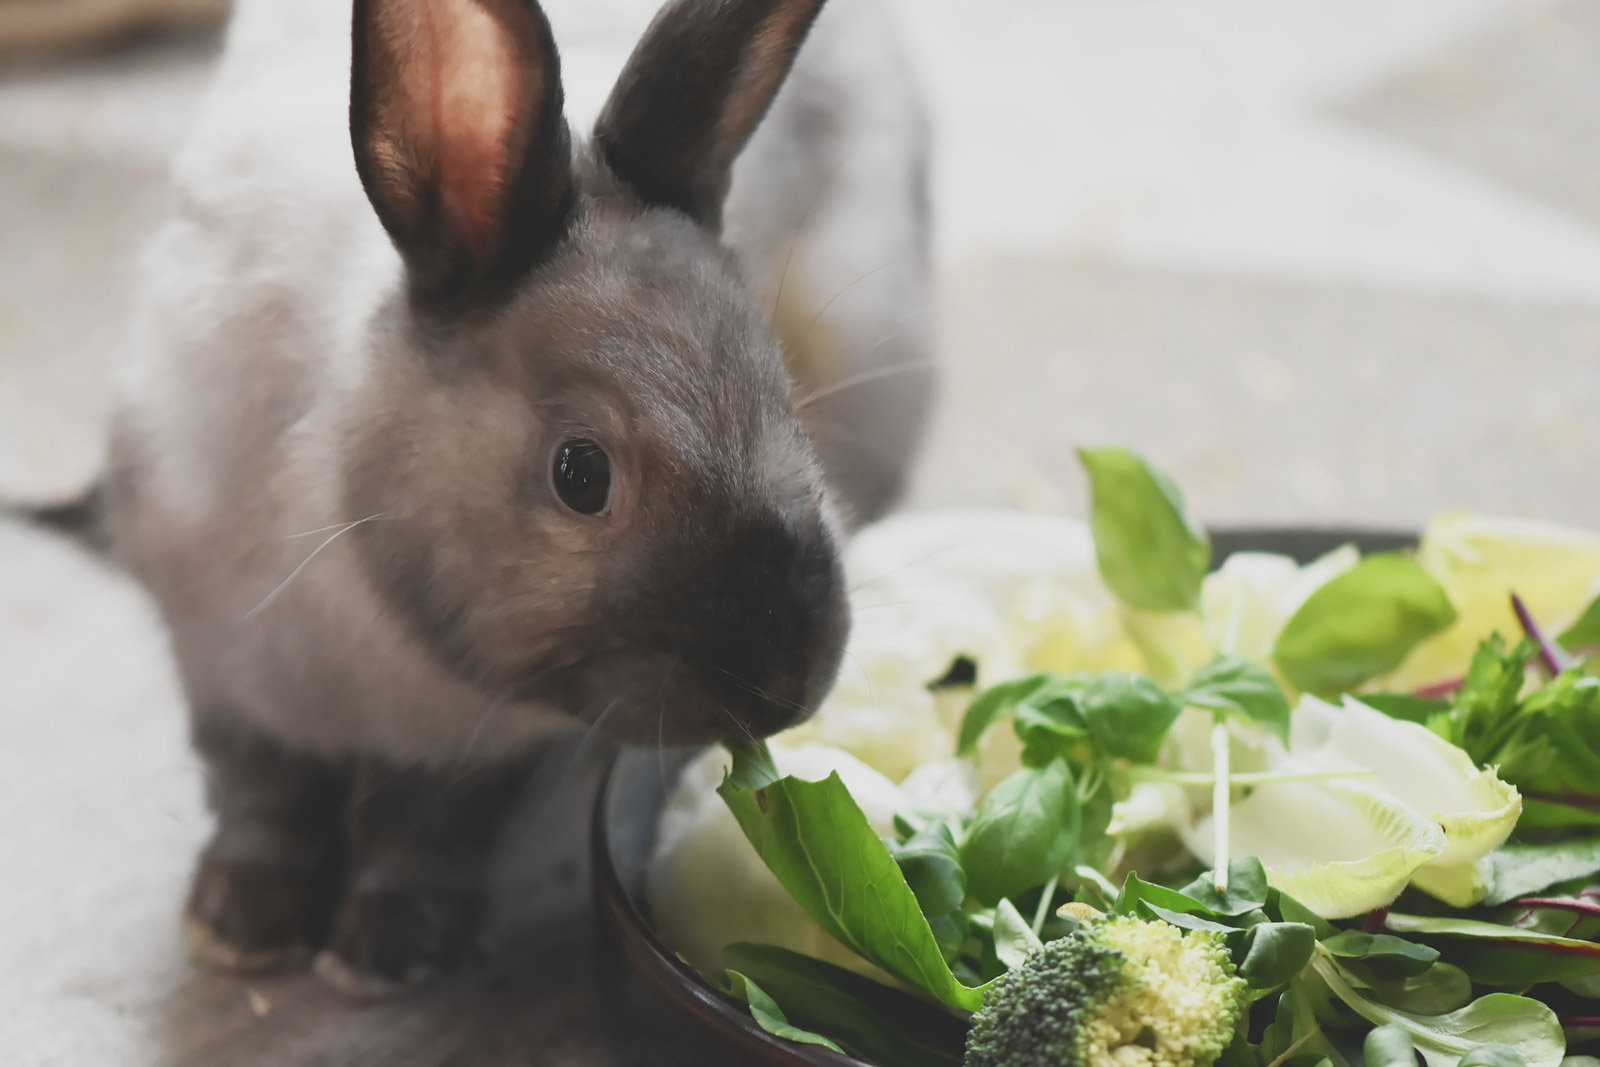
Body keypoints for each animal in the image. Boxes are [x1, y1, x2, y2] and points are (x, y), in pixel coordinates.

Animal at [87, 0, 934, 991]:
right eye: (581, 474)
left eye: (784, 400)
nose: (784, 687)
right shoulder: (224, 678)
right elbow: (261, 801)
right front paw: (238, 928)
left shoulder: (472, 757)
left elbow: (421, 833)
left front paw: (387, 953)